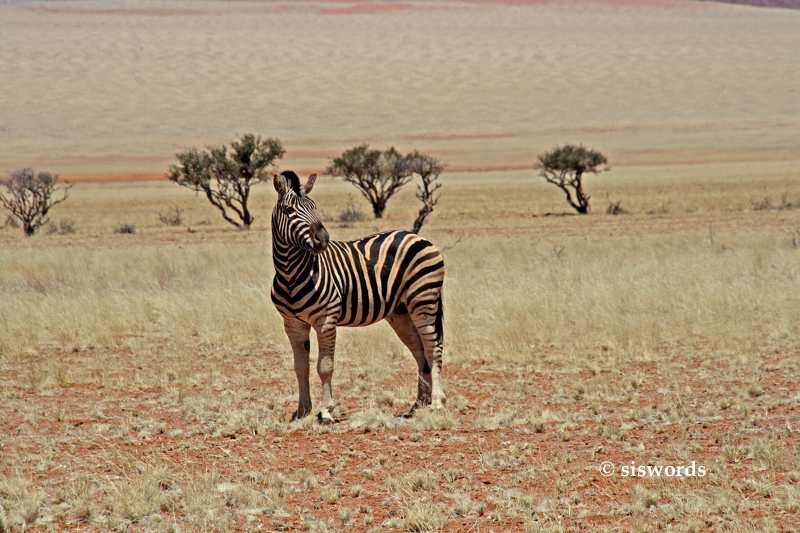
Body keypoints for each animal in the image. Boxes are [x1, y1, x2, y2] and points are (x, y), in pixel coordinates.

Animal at [268, 168, 444, 422]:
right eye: (290, 211)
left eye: (315, 207)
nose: (323, 239)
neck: (291, 274)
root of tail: (418, 237)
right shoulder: (292, 324)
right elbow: (300, 367)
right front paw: (302, 411)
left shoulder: (326, 320)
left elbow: (325, 366)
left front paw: (326, 410)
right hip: (401, 312)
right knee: (420, 351)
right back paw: (418, 404)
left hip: (424, 301)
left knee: (433, 347)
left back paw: (437, 403)